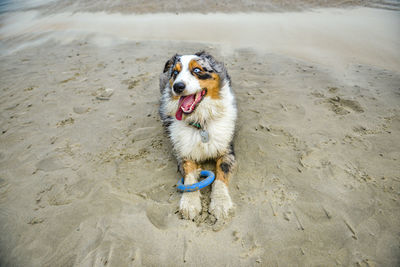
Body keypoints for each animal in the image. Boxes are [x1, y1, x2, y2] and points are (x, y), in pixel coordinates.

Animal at [159, 51, 238, 221]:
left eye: (196, 70)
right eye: (175, 73)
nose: (177, 86)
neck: (201, 123)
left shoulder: (227, 151)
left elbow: (221, 175)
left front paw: (220, 203)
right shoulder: (183, 152)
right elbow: (189, 178)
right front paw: (190, 203)